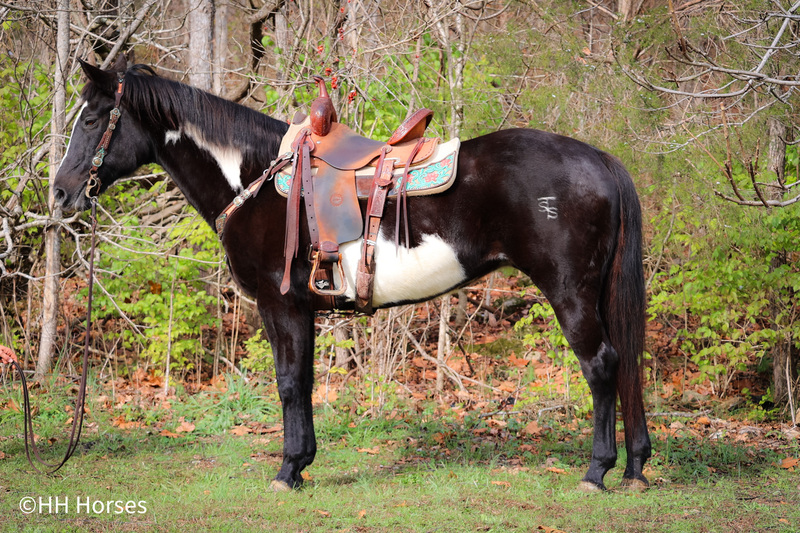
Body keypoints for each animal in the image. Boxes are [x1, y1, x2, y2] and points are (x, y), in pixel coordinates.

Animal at [51, 57, 648, 490]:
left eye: (91, 118)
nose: (59, 193)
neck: (255, 180)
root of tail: (600, 160)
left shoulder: (281, 305)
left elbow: (290, 383)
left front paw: (288, 470)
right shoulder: (303, 309)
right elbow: (305, 382)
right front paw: (303, 462)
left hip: (570, 293)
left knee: (602, 365)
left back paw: (597, 471)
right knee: (625, 364)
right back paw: (637, 467)